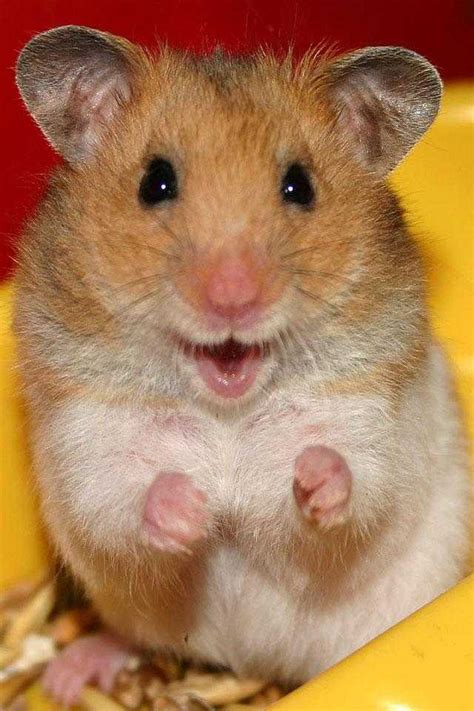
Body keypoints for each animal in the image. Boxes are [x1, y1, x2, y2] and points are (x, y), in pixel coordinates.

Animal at [13, 25, 470, 705]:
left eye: (299, 185)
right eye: (155, 182)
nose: (233, 299)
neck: (226, 409)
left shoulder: (372, 420)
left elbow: (358, 479)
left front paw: (312, 478)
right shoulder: (88, 437)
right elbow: (118, 496)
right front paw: (192, 509)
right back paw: (70, 675)